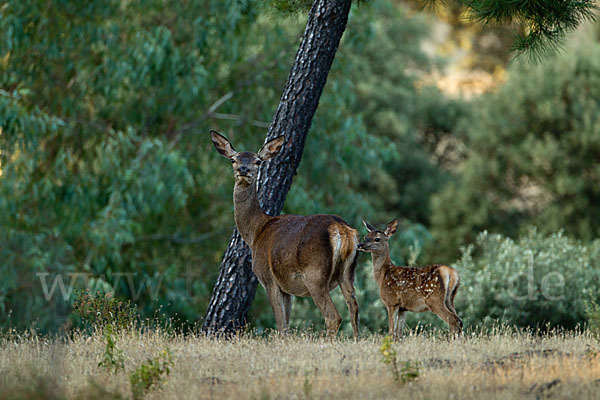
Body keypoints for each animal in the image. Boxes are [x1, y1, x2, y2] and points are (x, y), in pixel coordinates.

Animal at [211, 132, 360, 338]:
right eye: (233, 159)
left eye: (258, 161)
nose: (243, 169)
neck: (256, 232)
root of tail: (341, 229)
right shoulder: (287, 288)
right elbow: (287, 324)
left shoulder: (268, 279)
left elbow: (281, 325)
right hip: (347, 272)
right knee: (354, 307)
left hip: (315, 272)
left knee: (333, 316)